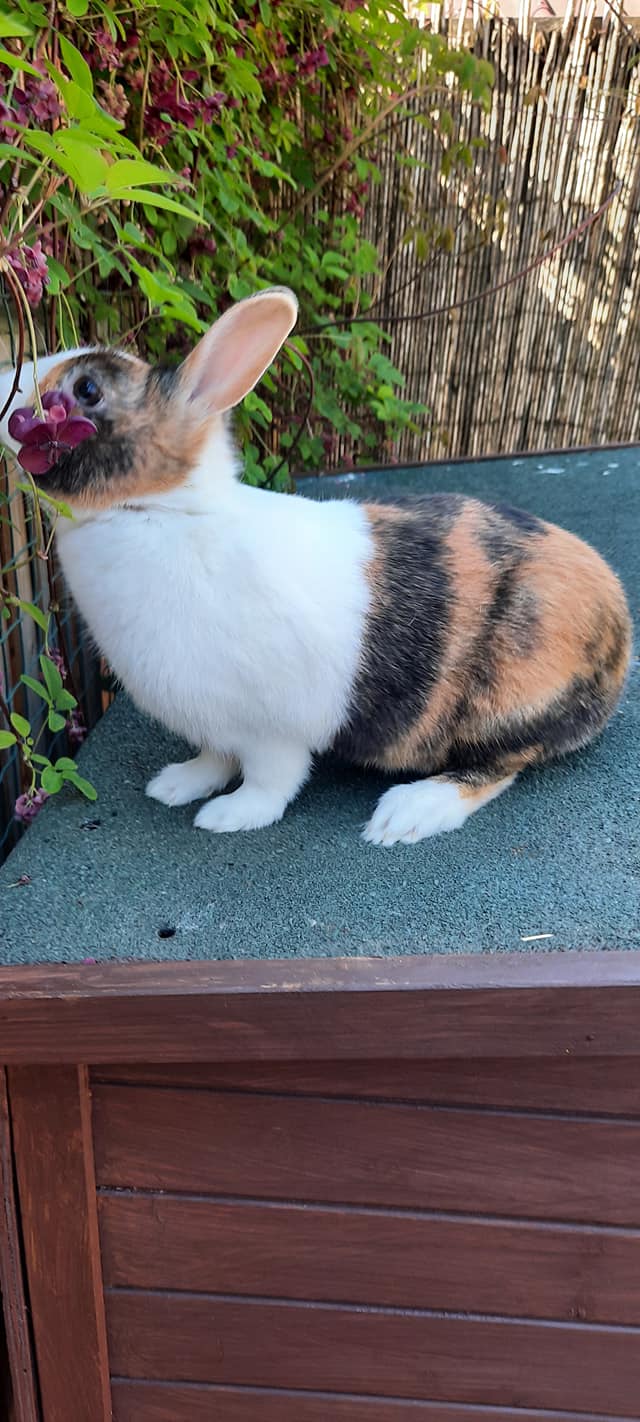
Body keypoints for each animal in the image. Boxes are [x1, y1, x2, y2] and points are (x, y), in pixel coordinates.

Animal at [0, 287, 632, 846]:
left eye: (86, 388)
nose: (11, 377)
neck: (157, 511)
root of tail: (618, 622)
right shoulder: (216, 725)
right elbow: (213, 758)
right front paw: (176, 785)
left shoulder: (271, 734)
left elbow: (269, 783)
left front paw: (228, 817)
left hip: (504, 707)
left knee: (498, 768)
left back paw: (405, 815)